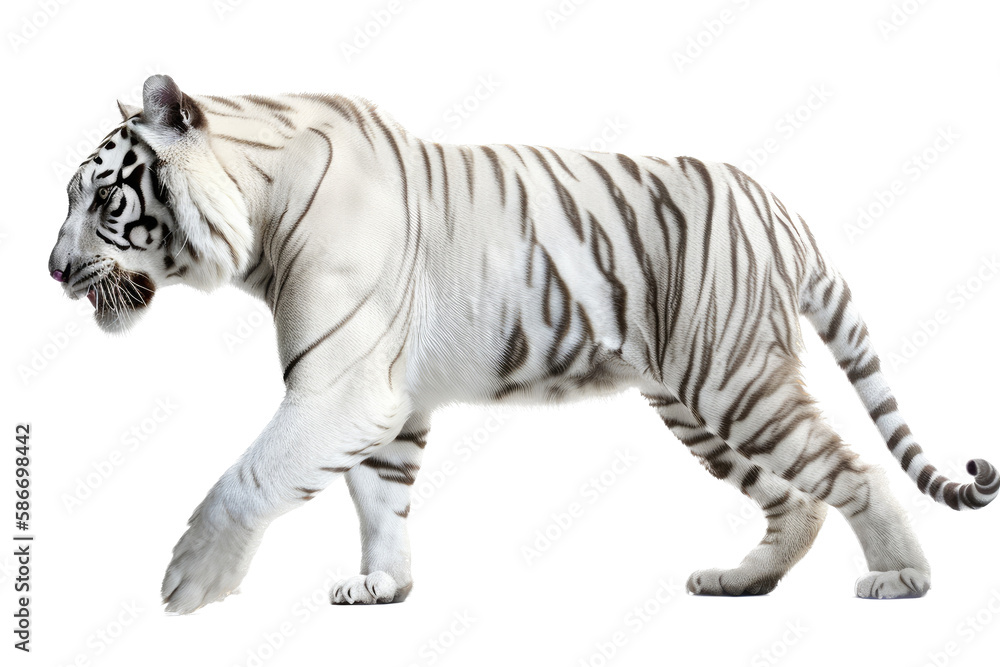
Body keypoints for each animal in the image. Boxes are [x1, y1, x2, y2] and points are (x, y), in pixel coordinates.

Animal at [48, 74, 997, 614]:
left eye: (100, 198)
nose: (52, 271)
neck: (258, 209)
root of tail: (783, 209)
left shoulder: (341, 386)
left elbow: (249, 478)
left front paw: (190, 583)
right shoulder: (386, 399)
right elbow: (379, 498)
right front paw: (383, 586)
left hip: (734, 380)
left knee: (852, 468)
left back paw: (902, 580)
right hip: (695, 399)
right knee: (795, 497)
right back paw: (742, 581)